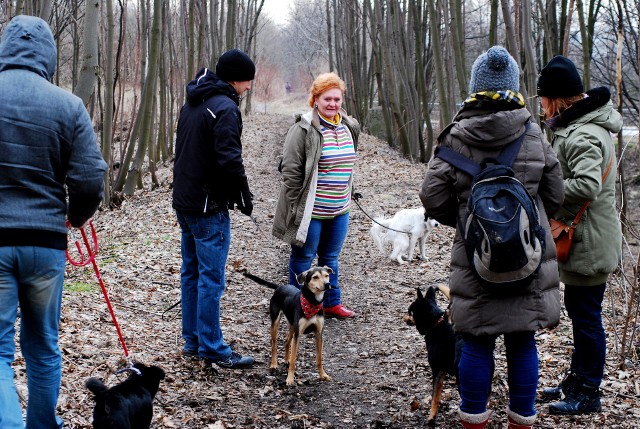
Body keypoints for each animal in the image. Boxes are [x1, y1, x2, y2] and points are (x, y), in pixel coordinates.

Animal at [404, 284, 460, 424]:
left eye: (410, 311)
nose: (404, 318)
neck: (436, 325)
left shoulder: (437, 371)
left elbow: (434, 396)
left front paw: (431, 417)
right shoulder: (442, 372)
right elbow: (438, 395)